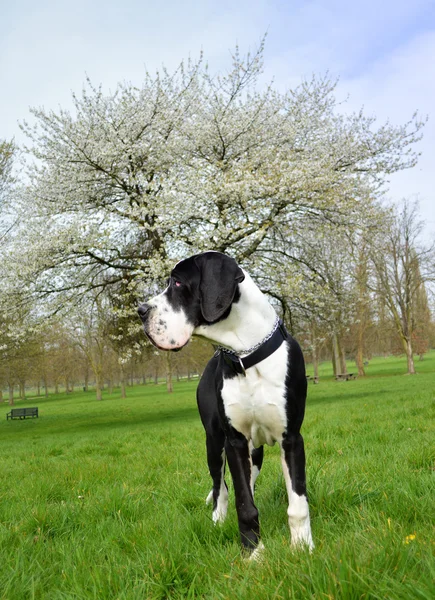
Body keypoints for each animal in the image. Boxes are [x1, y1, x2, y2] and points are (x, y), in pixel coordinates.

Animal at [139, 251, 314, 556]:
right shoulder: (234, 440)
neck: (246, 355)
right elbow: (243, 504)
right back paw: (218, 520)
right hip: (214, 442)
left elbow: (297, 503)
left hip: (254, 451)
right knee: (220, 486)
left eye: (177, 282)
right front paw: (253, 554)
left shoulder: (291, 438)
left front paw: (302, 547)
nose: (140, 310)